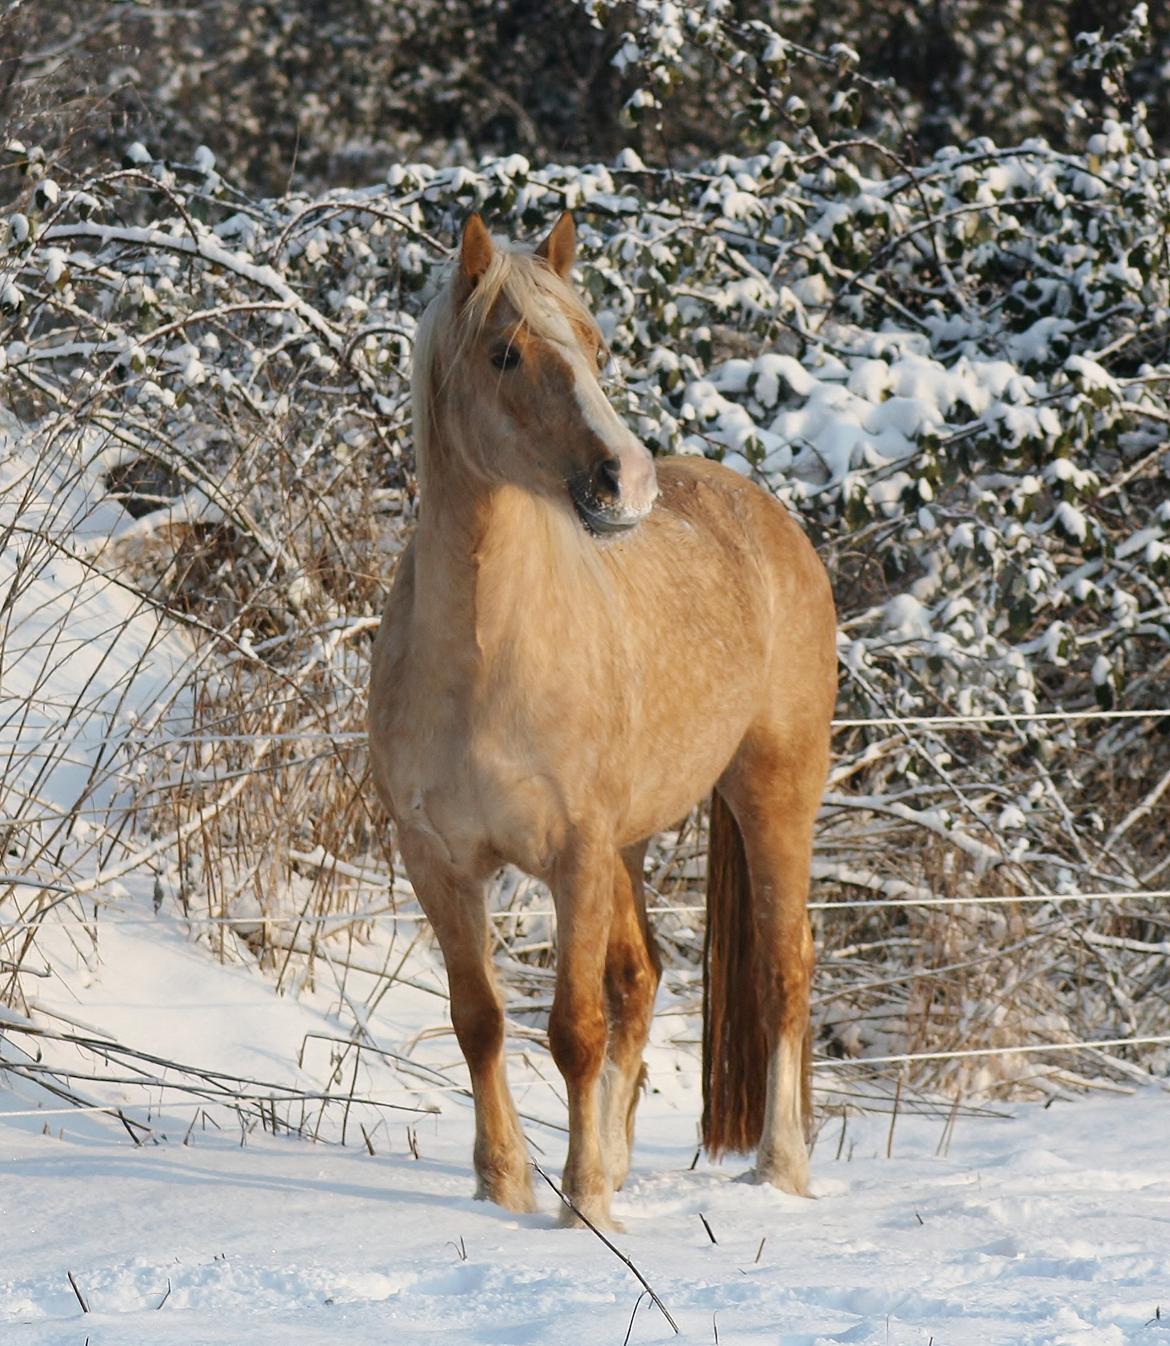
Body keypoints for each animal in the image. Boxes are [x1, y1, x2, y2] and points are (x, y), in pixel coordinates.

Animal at [368, 212, 834, 1232]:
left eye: (594, 345)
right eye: (505, 352)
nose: (625, 482)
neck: (485, 660)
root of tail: (767, 516)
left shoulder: (573, 857)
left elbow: (572, 1028)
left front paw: (580, 1205)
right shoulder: (439, 863)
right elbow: (480, 1020)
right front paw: (504, 1186)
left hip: (773, 798)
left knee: (782, 970)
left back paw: (781, 1170)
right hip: (631, 840)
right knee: (643, 976)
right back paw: (625, 1161)